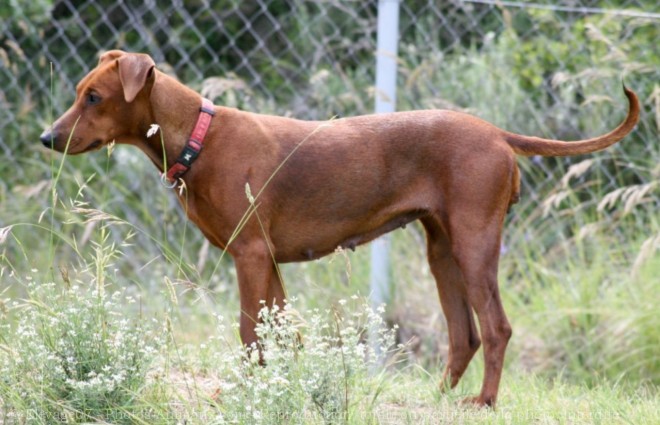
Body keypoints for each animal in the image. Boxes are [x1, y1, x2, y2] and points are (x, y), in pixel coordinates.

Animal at [41, 51, 640, 406]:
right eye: (79, 93)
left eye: (94, 97)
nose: (48, 138)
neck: (199, 136)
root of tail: (495, 132)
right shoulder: (268, 263)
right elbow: (282, 338)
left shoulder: (250, 256)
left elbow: (248, 336)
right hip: (442, 252)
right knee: (463, 335)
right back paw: (438, 400)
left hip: (474, 246)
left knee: (494, 329)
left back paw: (483, 404)